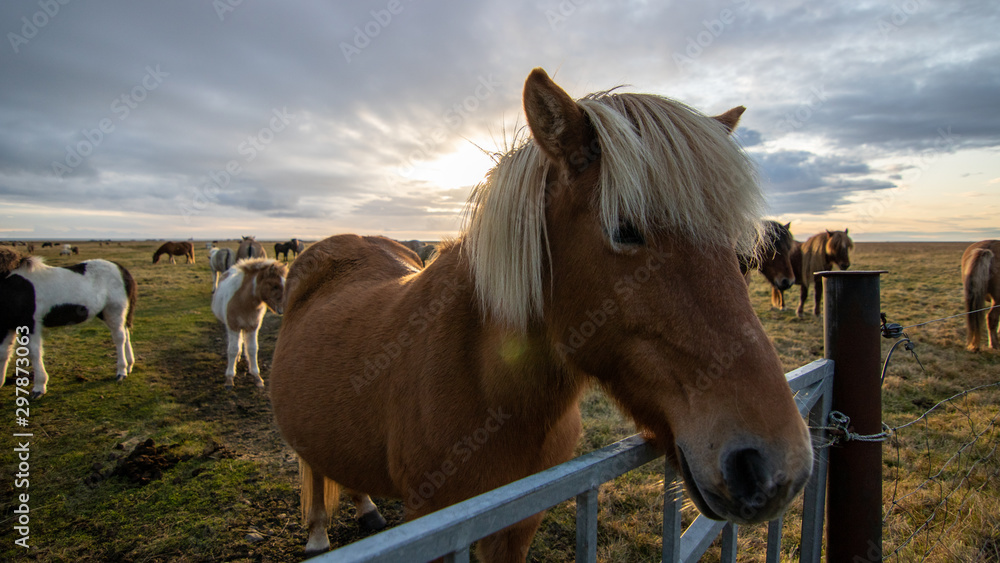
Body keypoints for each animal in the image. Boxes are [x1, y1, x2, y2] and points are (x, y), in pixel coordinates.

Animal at [1, 255, 137, 398]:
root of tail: (120, 269)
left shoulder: (30, 324)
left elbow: (34, 352)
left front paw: (39, 387)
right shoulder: (8, 327)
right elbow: (4, 352)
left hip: (114, 311)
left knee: (119, 338)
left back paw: (121, 371)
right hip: (108, 313)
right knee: (125, 334)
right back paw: (129, 366)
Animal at [211, 258, 287, 389]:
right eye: (275, 286)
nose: (284, 307)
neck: (243, 302)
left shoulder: (253, 327)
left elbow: (252, 349)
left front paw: (257, 377)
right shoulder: (233, 327)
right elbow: (232, 349)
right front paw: (229, 379)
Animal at [269, 68, 813, 560]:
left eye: (738, 252)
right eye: (625, 228)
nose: (775, 469)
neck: (494, 394)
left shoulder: (518, 521)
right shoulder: (434, 526)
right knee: (312, 469)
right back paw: (317, 534)